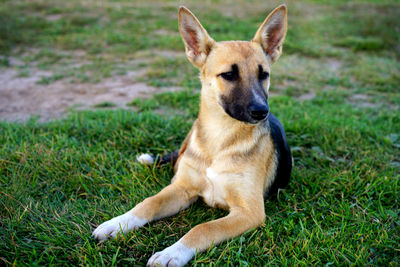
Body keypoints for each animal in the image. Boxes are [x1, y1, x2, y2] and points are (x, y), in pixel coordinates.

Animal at [92, 4, 292, 267]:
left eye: (264, 75)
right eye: (228, 75)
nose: (261, 111)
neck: (219, 141)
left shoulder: (249, 211)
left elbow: (203, 228)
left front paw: (171, 253)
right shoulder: (182, 188)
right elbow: (149, 202)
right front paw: (118, 223)